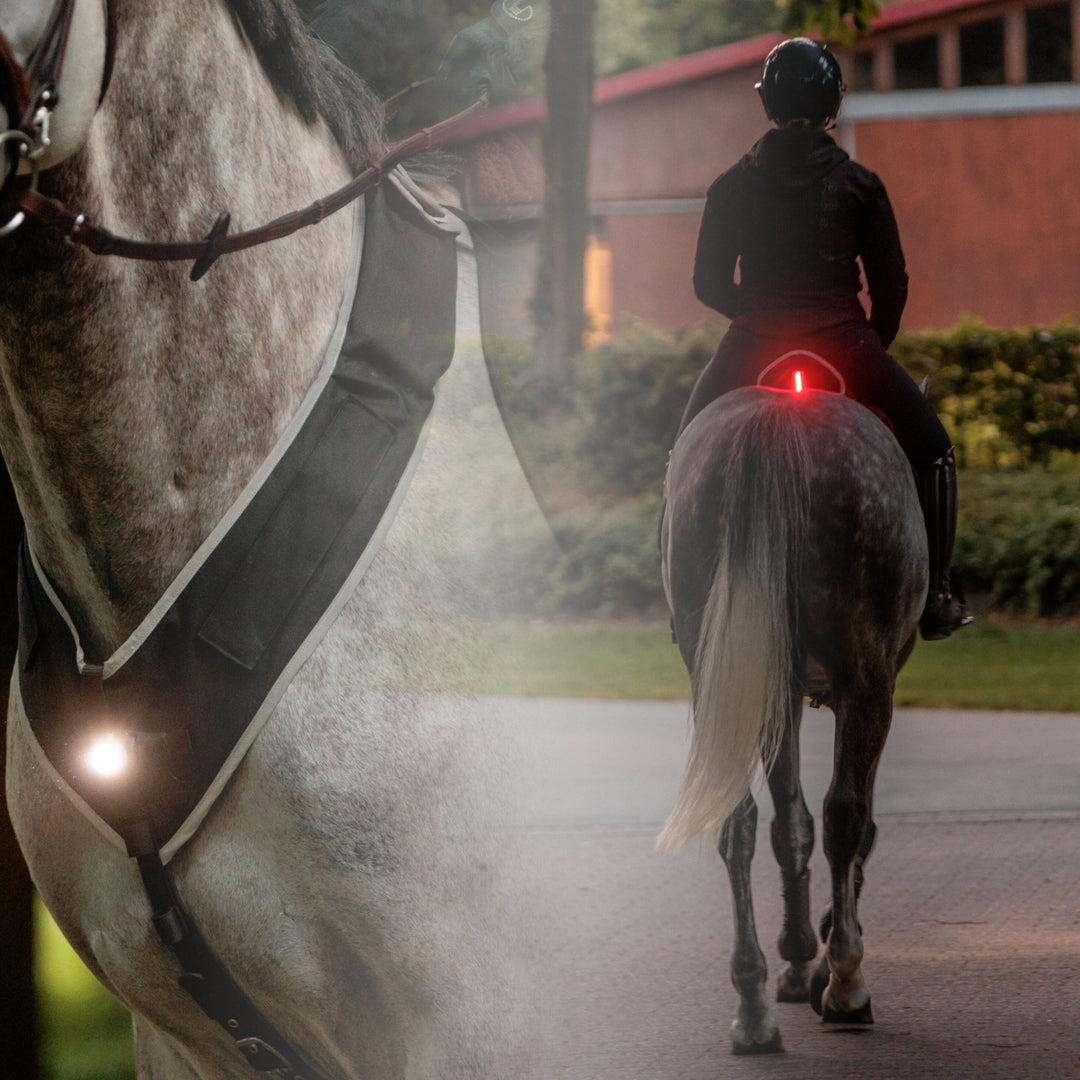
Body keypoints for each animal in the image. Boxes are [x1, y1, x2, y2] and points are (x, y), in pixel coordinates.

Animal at [658, 376, 928, 1054]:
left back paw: (753, 1005)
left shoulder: (775, 691)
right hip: (867, 679)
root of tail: (780, 413)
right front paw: (825, 956)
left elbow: (789, 824)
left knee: (739, 819)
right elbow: (849, 820)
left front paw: (799, 955)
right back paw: (846, 986)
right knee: (844, 816)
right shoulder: (871, 686)